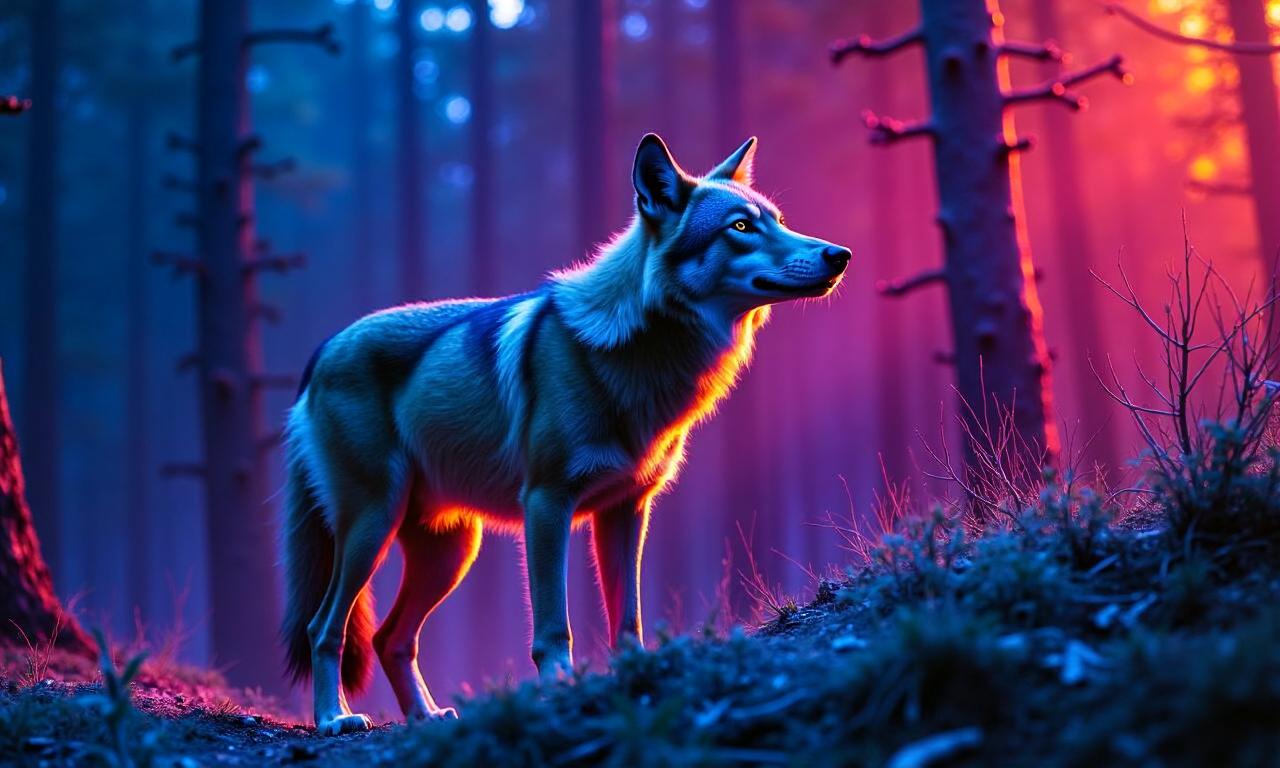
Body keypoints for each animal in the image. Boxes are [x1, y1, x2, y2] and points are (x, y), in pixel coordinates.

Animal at [280, 133, 851, 734]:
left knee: (391, 638)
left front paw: (633, 677)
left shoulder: (627, 509)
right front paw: (559, 689)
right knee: (325, 627)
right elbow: (555, 627)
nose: (839, 254)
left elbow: (629, 620)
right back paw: (334, 718)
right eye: (740, 227)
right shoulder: (547, 504)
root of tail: (321, 353)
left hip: (451, 551)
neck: (639, 357)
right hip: (373, 527)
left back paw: (427, 717)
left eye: (779, 222)